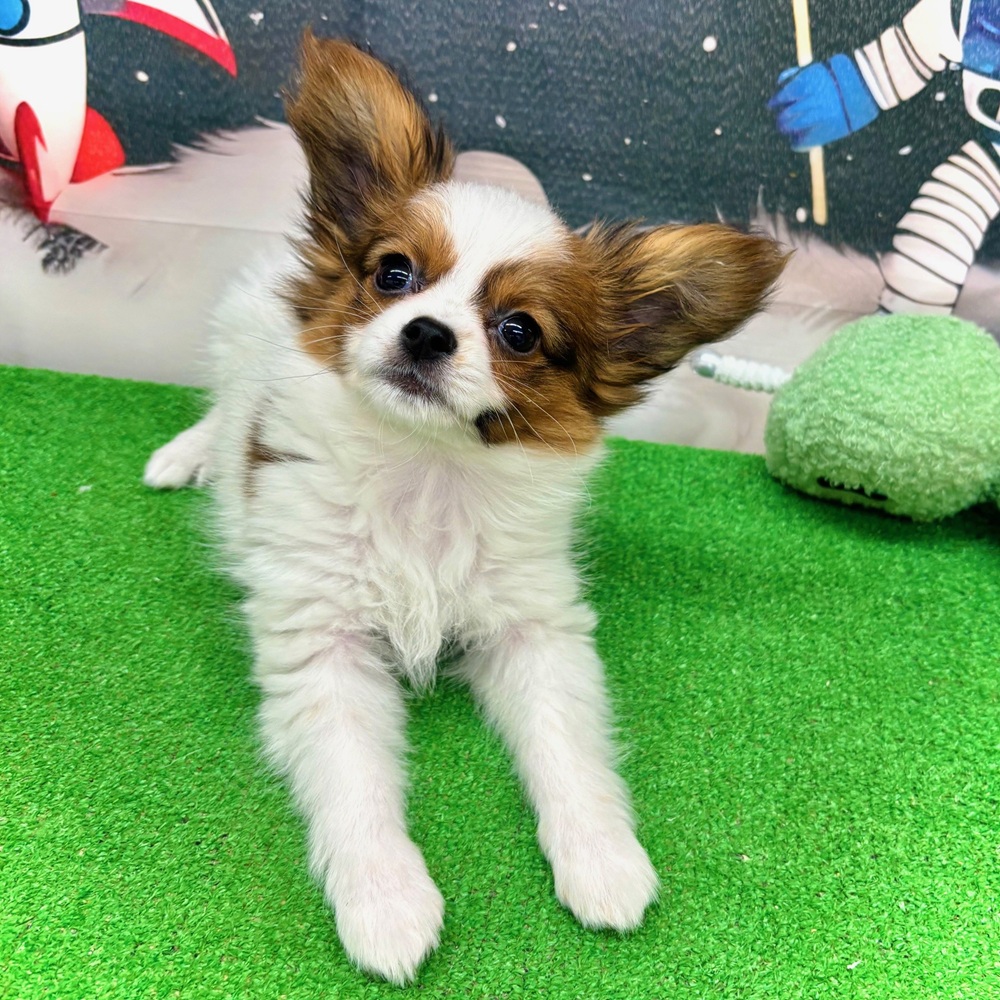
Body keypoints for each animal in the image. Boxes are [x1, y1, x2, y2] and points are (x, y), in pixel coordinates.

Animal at [144, 33, 787, 984]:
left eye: (519, 331)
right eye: (393, 273)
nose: (425, 332)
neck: (424, 470)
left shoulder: (535, 628)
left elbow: (567, 749)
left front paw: (603, 859)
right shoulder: (323, 646)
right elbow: (355, 785)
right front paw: (385, 904)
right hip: (233, 342)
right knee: (225, 411)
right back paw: (188, 456)